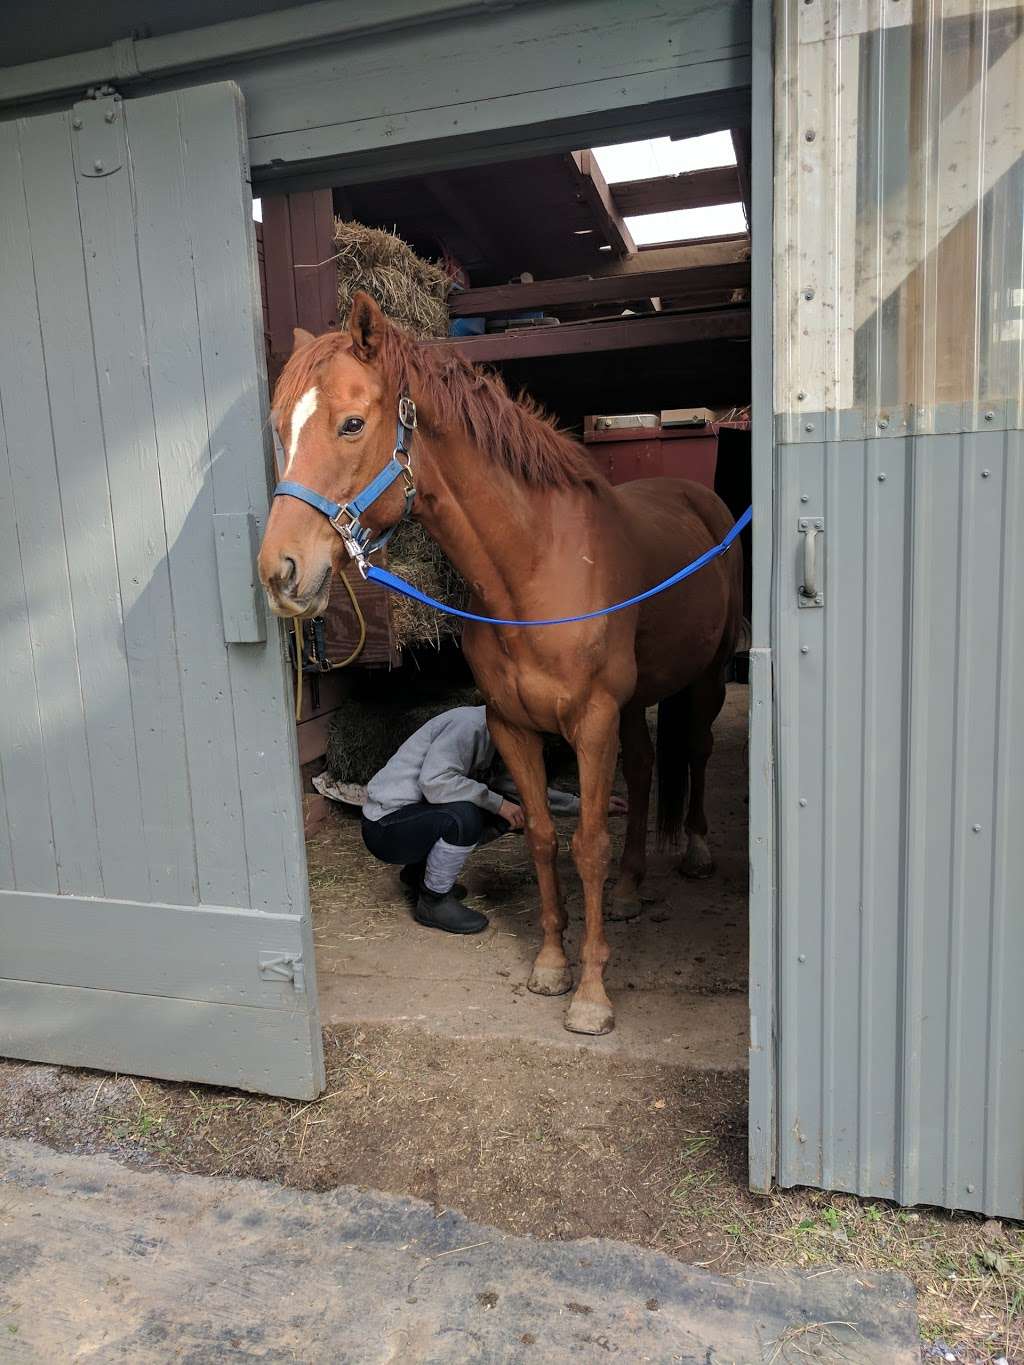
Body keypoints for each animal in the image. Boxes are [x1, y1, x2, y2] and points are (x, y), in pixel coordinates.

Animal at [258, 292, 743, 1036]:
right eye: (282, 429)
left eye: (351, 423)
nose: (279, 571)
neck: (536, 567)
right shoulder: (513, 725)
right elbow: (543, 835)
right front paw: (551, 964)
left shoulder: (591, 723)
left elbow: (587, 845)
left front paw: (592, 995)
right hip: (634, 704)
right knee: (644, 765)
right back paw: (631, 888)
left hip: (708, 676)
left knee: (695, 749)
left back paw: (693, 851)